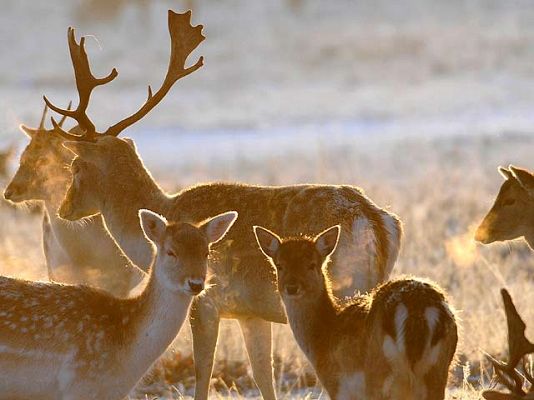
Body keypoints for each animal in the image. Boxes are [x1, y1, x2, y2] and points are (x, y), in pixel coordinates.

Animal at [42, 7, 402, 398]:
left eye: (76, 166)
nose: (64, 208)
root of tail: (376, 221)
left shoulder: (206, 297)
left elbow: (203, 371)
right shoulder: (250, 312)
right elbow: (263, 375)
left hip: (345, 284)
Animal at [255, 225, 460, 400]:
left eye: (311, 264)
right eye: (279, 265)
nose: (292, 287)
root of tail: (417, 308)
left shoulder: (338, 386)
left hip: (379, 373)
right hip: (439, 370)